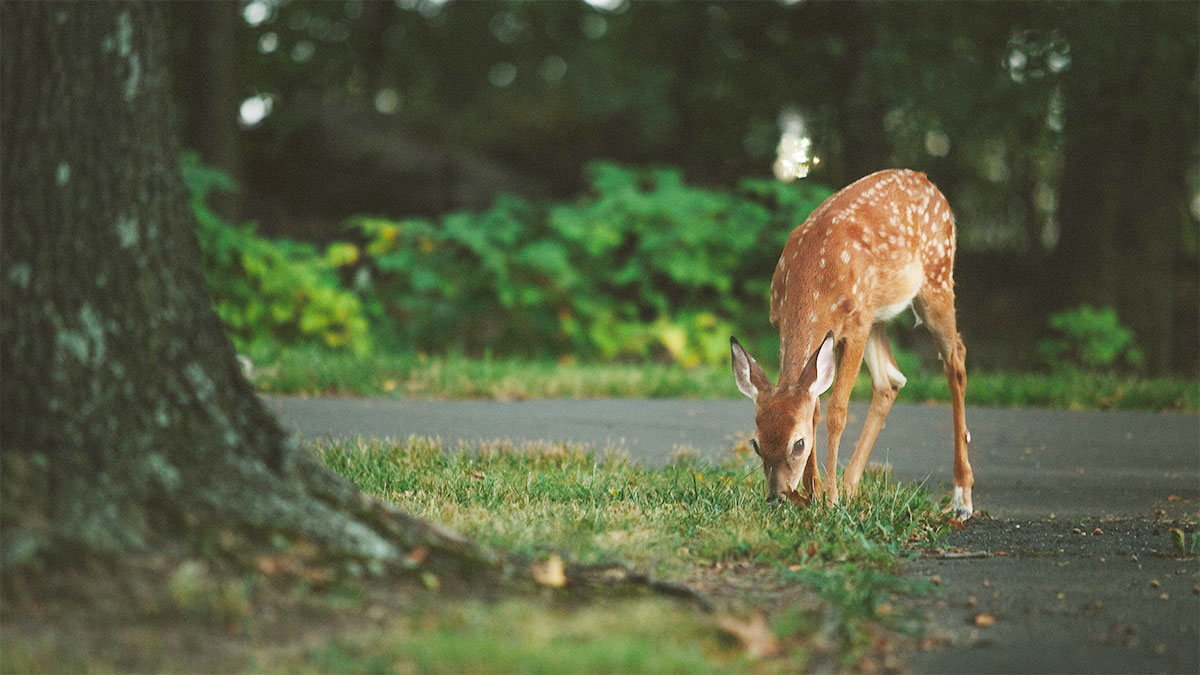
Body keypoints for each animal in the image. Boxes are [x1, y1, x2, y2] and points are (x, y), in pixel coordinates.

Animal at [730, 169, 974, 520]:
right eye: (756, 444)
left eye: (798, 444)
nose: (777, 497)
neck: (813, 278)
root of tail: (928, 182)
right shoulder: (789, 324)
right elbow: (814, 407)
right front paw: (814, 494)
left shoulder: (855, 326)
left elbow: (836, 411)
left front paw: (828, 499)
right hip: (878, 314)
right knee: (890, 379)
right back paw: (850, 486)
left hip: (936, 278)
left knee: (956, 360)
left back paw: (962, 497)